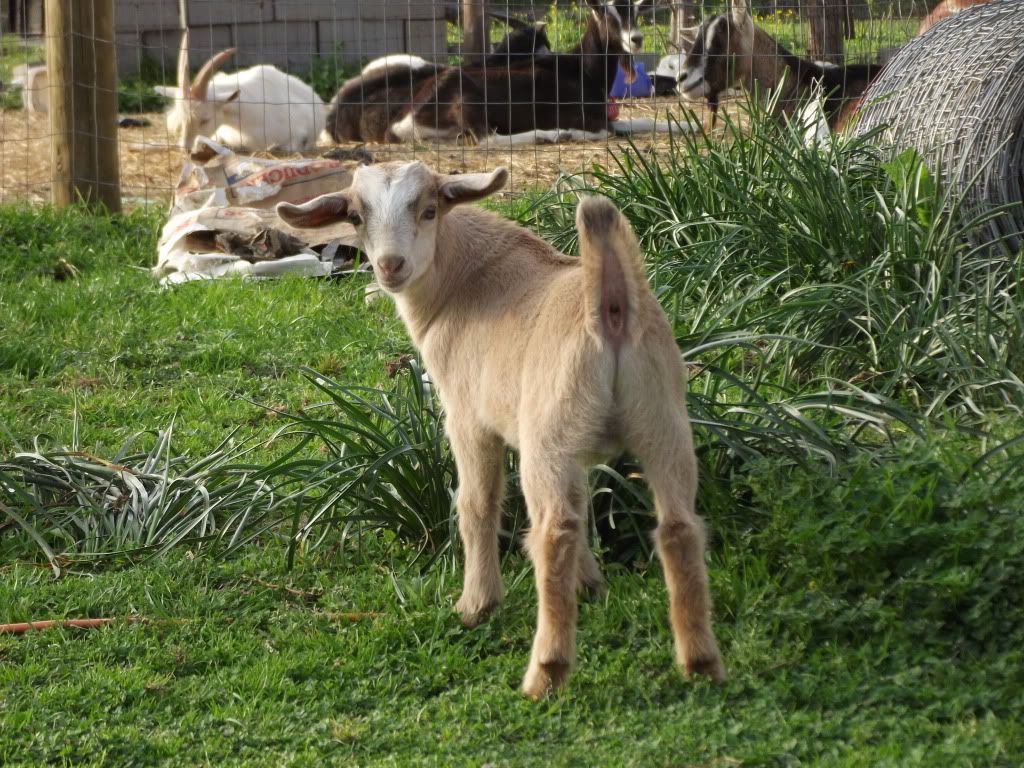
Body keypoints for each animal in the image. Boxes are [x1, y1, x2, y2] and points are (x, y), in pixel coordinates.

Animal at [276, 160, 725, 698]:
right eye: (357, 217)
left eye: (429, 211)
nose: (390, 266)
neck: (466, 281)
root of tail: (610, 310)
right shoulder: (581, 451)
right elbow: (584, 505)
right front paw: (591, 586)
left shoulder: (468, 418)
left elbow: (476, 504)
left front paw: (476, 604)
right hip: (662, 419)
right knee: (677, 527)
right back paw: (700, 663)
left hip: (548, 433)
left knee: (554, 531)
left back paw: (545, 671)